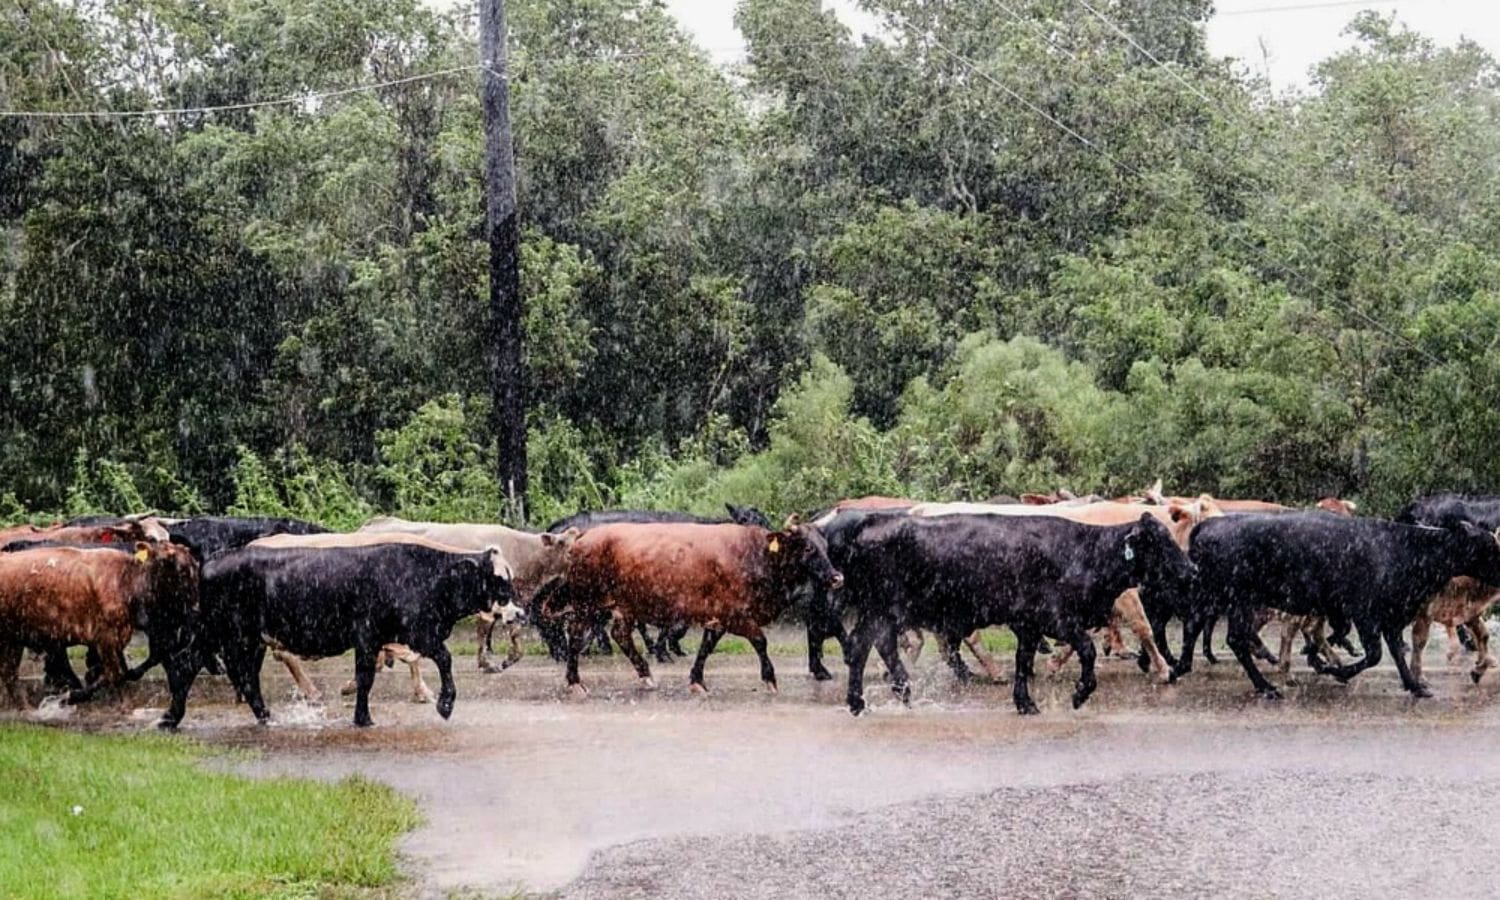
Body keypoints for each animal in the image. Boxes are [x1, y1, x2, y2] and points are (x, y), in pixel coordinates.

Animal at [196, 540, 513, 723]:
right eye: (499, 579)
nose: (516, 609)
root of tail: (213, 559)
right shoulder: (400, 634)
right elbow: (440, 660)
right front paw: (445, 704)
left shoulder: (387, 638)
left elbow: (367, 678)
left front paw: (362, 716)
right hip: (234, 637)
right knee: (239, 674)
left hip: (251, 640)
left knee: (247, 676)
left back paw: (264, 715)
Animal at [828, 510, 1188, 714]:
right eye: (1159, 543)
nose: (1192, 568)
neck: (1083, 552)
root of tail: (870, 520)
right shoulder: (1057, 618)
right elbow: (1087, 649)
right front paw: (1079, 694)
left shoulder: (1029, 624)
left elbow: (1023, 661)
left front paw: (1025, 703)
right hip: (881, 609)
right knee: (864, 646)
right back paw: (867, 700)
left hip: (884, 613)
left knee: (875, 646)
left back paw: (893, 695)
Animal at [1170, 513, 1500, 696]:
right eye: (1487, 546)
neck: (1404, 550)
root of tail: (1211, 523)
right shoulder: (1365, 613)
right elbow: (1376, 654)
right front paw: (1335, 670)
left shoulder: (1390, 615)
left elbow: (1395, 651)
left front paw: (1415, 686)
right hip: (1237, 597)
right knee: (1234, 638)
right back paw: (1266, 687)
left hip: (1215, 595)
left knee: (1197, 625)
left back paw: (1180, 668)